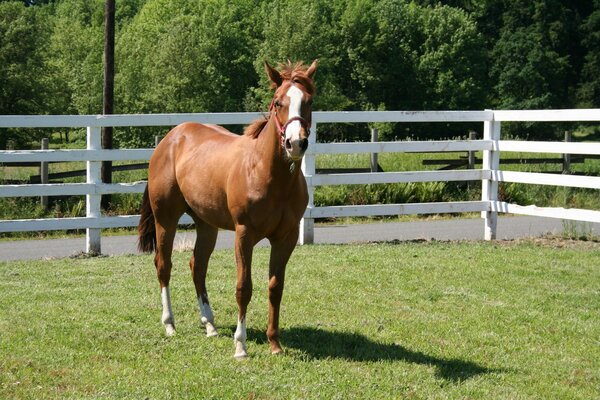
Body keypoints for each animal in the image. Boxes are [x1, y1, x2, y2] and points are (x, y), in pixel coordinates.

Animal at [135, 60, 314, 360]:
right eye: (278, 102)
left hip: (207, 225)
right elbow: (244, 288)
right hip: (165, 220)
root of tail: (170, 138)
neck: (268, 173)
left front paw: (275, 344)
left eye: (309, 102)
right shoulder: (244, 234)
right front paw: (240, 346)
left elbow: (275, 287)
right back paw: (170, 324)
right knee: (163, 265)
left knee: (197, 266)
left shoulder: (285, 238)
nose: (295, 143)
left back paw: (210, 324)